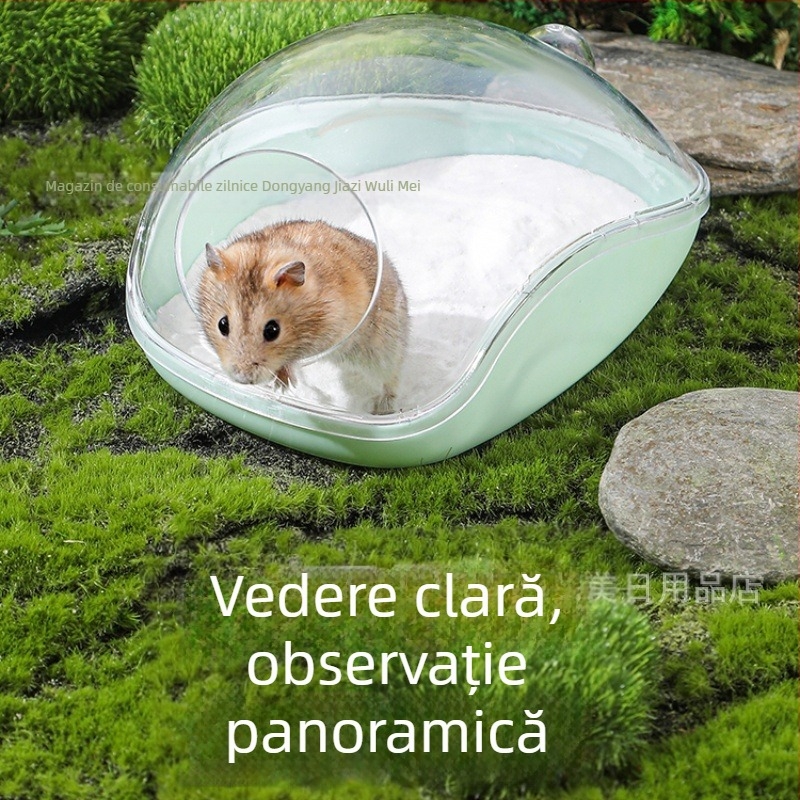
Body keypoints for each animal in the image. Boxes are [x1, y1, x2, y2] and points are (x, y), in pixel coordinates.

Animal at [198, 220, 409, 415]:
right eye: (222, 325)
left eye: (273, 330)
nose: (243, 380)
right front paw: (280, 385)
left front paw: (284, 385)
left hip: (385, 351)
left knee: (391, 380)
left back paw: (381, 410)